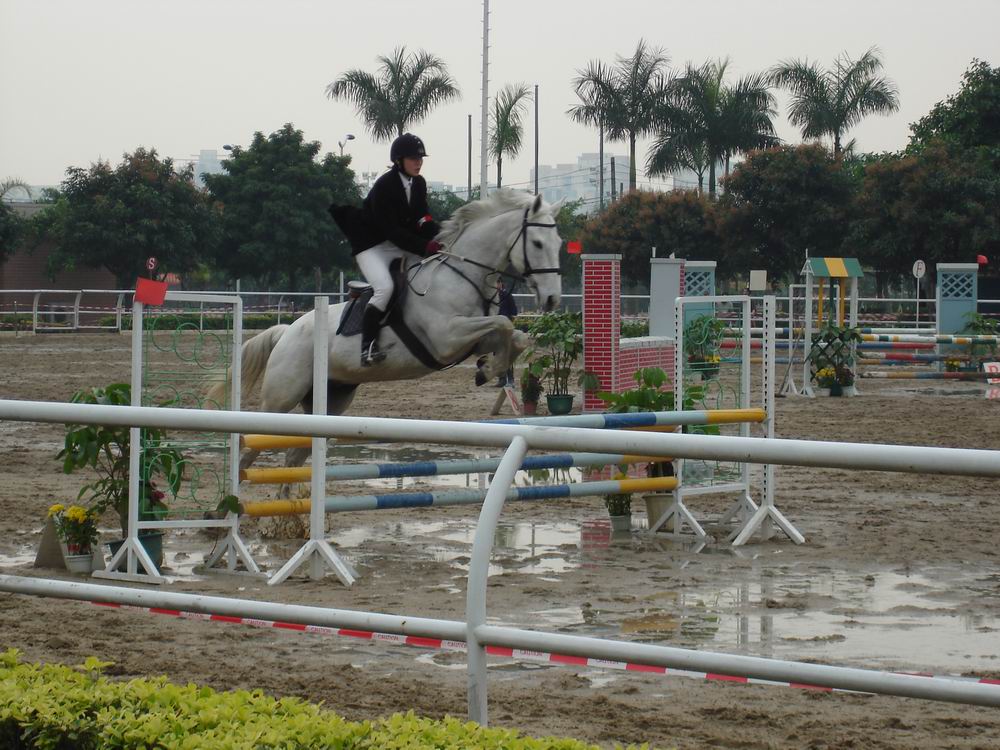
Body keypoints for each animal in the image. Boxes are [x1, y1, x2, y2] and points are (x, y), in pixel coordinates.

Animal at [219, 192, 564, 476]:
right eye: (537, 244)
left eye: (559, 244)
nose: (551, 300)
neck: (464, 275)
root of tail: (286, 332)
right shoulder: (447, 339)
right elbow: (504, 323)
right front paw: (488, 369)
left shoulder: (472, 337)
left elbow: (513, 334)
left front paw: (486, 368)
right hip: (282, 397)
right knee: (251, 443)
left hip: (331, 400)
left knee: (294, 456)